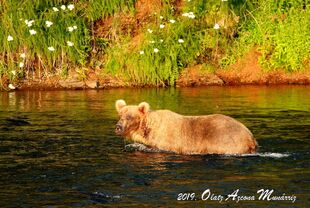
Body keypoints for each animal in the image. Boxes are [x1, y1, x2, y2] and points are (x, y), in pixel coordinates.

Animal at [115, 99, 258, 154]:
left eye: (130, 116)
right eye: (120, 115)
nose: (118, 127)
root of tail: (250, 136)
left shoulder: (167, 142)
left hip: (226, 140)